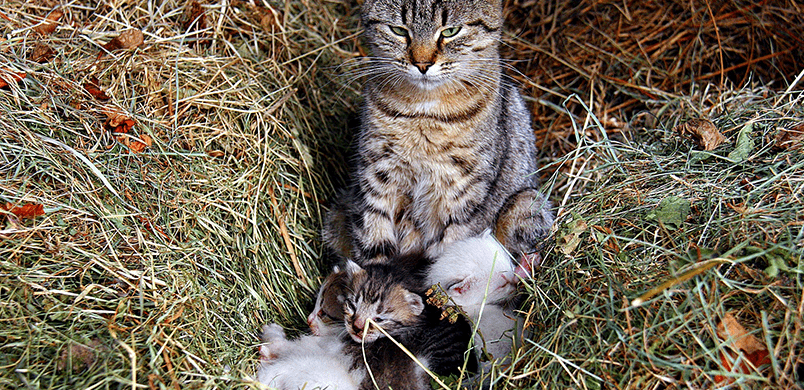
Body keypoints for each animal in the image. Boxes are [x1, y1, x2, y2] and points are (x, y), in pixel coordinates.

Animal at [324, 0, 556, 266]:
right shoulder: (376, 177)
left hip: (527, 203)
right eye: (399, 30)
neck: (423, 113)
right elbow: (374, 242)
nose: (422, 64)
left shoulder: (462, 193)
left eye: (450, 31)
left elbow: (449, 249)